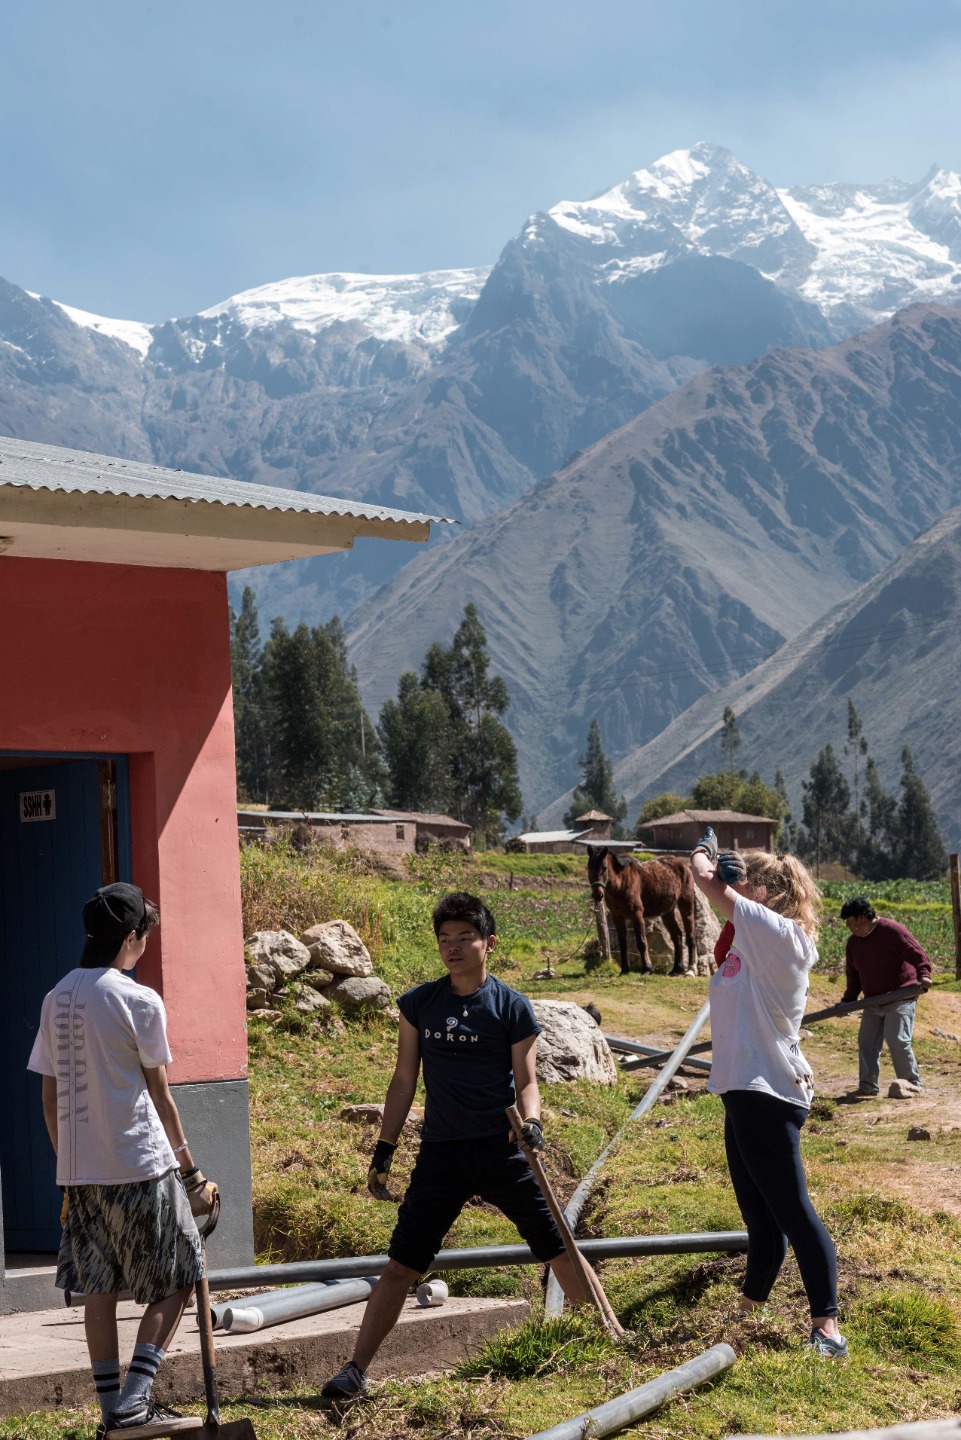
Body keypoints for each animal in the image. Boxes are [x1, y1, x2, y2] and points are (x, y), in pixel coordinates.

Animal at [587, 847, 698, 977]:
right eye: (589, 868)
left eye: (604, 868)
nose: (598, 895)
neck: (622, 882)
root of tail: (684, 865)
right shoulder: (617, 916)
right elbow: (623, 944)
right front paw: (624, 970)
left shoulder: (637, 914)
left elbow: (641, 942)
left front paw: (647, 969)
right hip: (667, 912)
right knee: (677, 936)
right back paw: (676, 969)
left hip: (686, 906)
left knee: (690, 936)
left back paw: (690, 970)